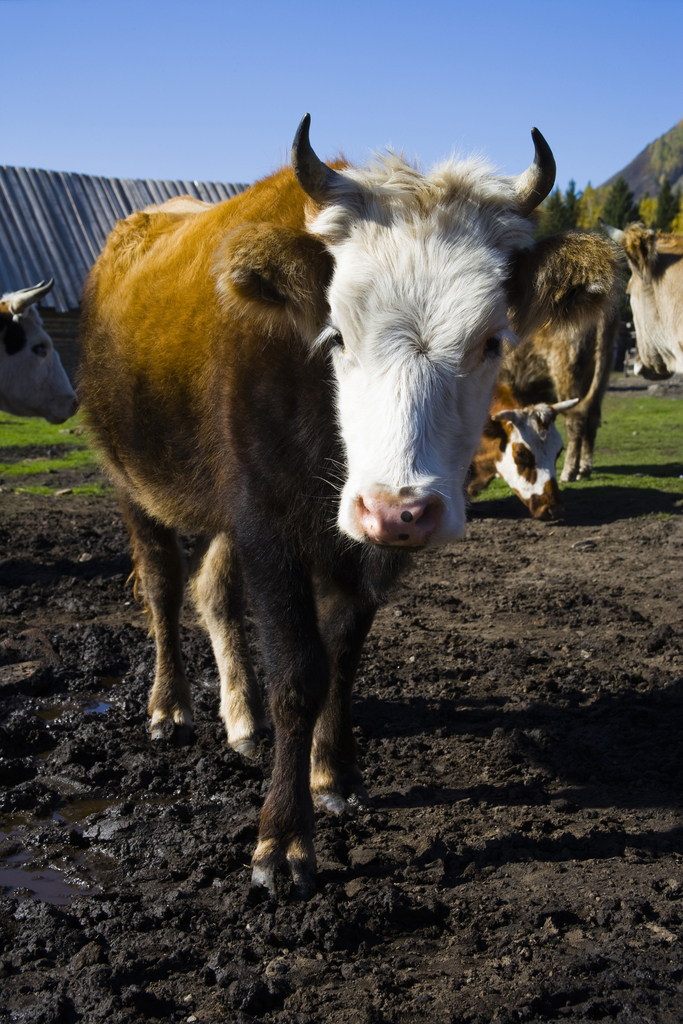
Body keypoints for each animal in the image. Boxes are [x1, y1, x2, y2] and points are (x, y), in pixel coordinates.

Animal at [78, 114, 565, 897]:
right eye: (336, 335)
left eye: (492, 340)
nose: (398, 510)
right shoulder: (269, 528)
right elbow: (299, 673)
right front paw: (282, 842)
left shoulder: (347, 548)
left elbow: (341, 654)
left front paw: (332, 774)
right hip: (132, 479)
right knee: (161, 586)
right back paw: (170, 708)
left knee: (213, 591)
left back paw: (241, 721)